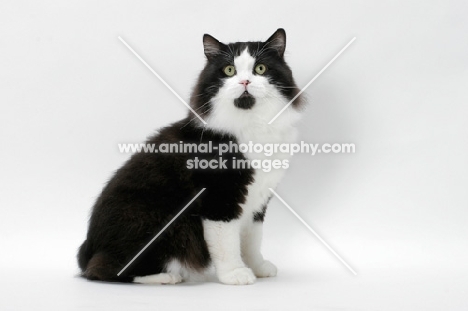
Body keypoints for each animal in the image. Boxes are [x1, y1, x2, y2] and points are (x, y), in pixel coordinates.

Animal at [77, 29, 304, 286]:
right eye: (229, 70)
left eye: (261, 69)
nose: (245, 82)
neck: (252, 125)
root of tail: (88, 247)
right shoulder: (220, 197)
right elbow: (227, 242)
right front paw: (234, 273)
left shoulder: (259, 198)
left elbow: (252, 239)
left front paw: (257, 267)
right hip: (157, 221)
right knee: (104, 270)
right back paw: (167, 277)